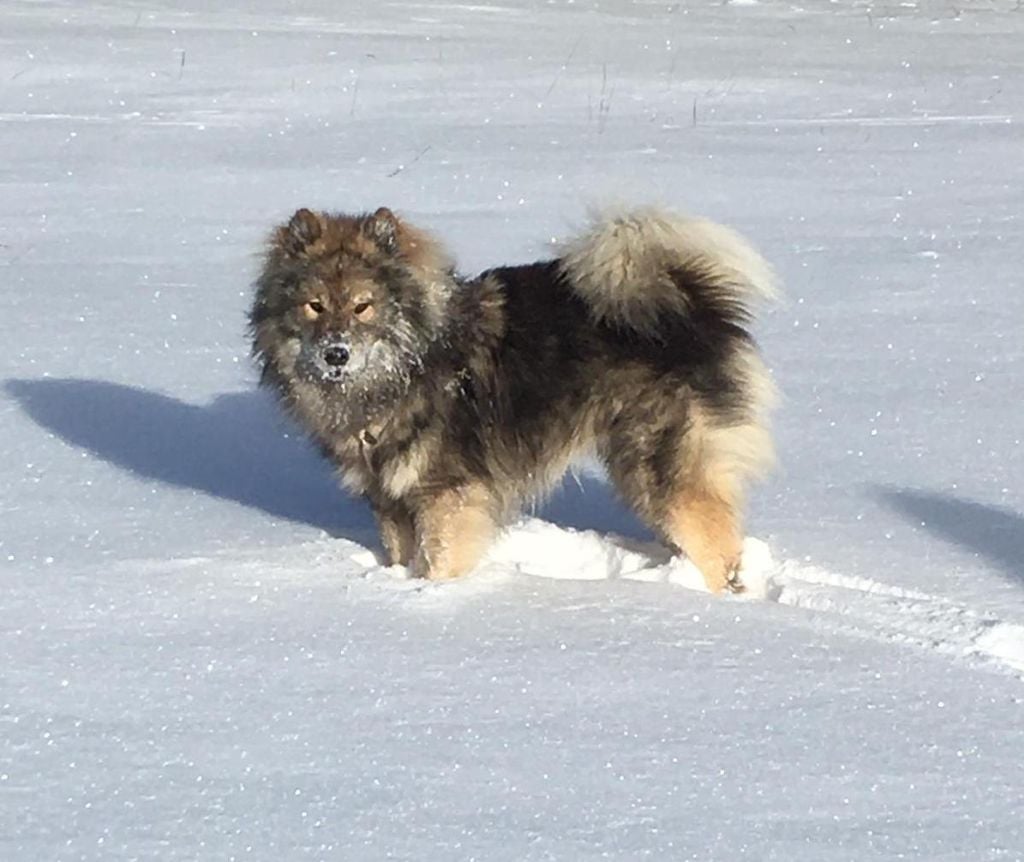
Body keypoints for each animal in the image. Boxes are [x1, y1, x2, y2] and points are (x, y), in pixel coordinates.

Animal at [249, 204, 774, 589]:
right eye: (314, 306)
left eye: (363, 306)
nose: (335, 354)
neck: (407, 366)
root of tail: (691, 303)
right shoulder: (391, 500)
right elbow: (404, 554)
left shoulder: (447, 494)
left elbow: (440, 559)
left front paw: (432, 593)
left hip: (659, 466)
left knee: (718, 545)